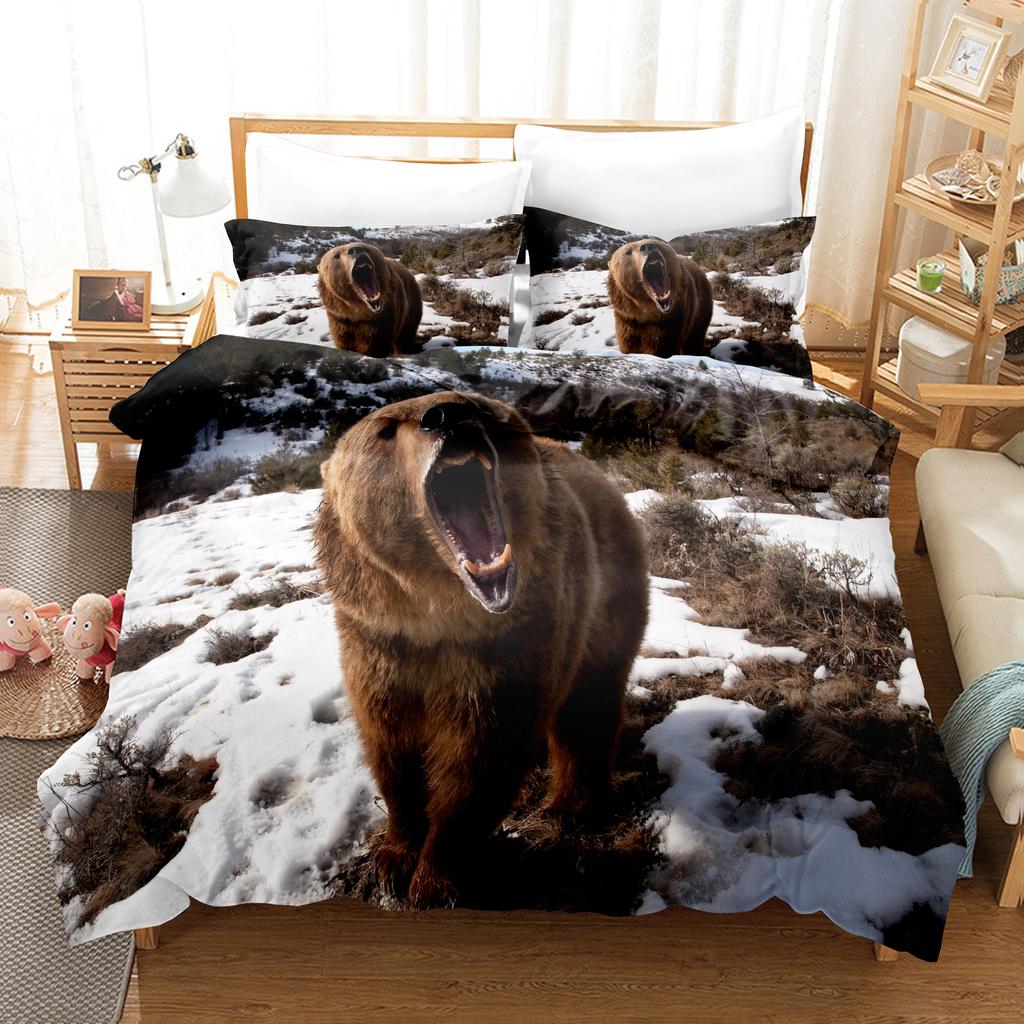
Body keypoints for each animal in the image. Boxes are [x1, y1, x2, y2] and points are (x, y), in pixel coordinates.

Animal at [314, 390, 649, 910]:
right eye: (385, 429)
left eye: (479, 406)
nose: (449, 416)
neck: (439, 616)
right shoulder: (379, 644)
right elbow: (392, 747)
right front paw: (394, 857)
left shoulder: (508, 647)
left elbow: (481, 756)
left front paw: (434, 879)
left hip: (608, 597)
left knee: (588, 706)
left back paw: (569, 807)